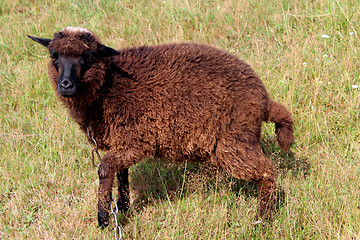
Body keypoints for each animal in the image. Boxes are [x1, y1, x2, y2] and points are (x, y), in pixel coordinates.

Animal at [29, 27, 294, 228]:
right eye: (54, 56)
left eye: (88, 58)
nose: (66, 85)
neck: (108, 86)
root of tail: (263, 99)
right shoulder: (123, 140)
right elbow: (120, 172)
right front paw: (123, 206)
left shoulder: (138, 141)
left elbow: (104, 169)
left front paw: (103, 217)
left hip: (233, 141)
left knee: (268, 172)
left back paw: (261, 220)